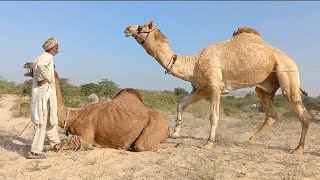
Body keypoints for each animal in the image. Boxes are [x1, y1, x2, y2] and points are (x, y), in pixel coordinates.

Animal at [124, 21, 312, 153]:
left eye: (141, 27)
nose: (127, 28)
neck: (193, 63)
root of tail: (290, 58)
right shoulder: (202, 89)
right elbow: (181, 104)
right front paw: (175, 133)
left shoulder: (215, 86)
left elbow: (213, 116)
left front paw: (208, 142)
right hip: (265, 87)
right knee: (271, 113)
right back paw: (249, 140)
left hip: (288, 72)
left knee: (300, 109)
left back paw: (298, 150)